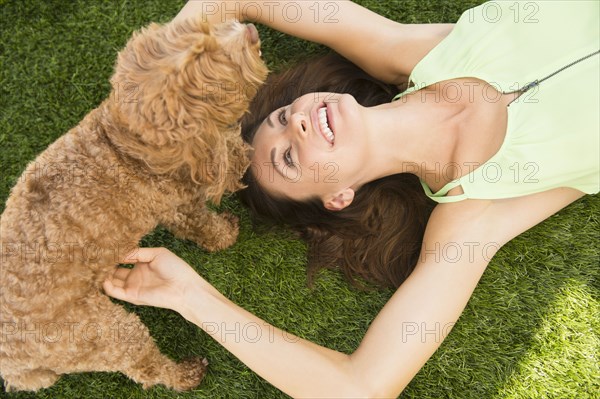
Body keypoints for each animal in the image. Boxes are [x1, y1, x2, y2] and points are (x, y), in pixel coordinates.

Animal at [0, 16, 268, 394]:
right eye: (213, 60)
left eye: (205, 31)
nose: (249, 29)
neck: (124, 146)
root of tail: (13, 366)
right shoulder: (176, 204)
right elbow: (200, 222)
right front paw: (226, 232)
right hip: (98, 333)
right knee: (143, 366)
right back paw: (185, 374)